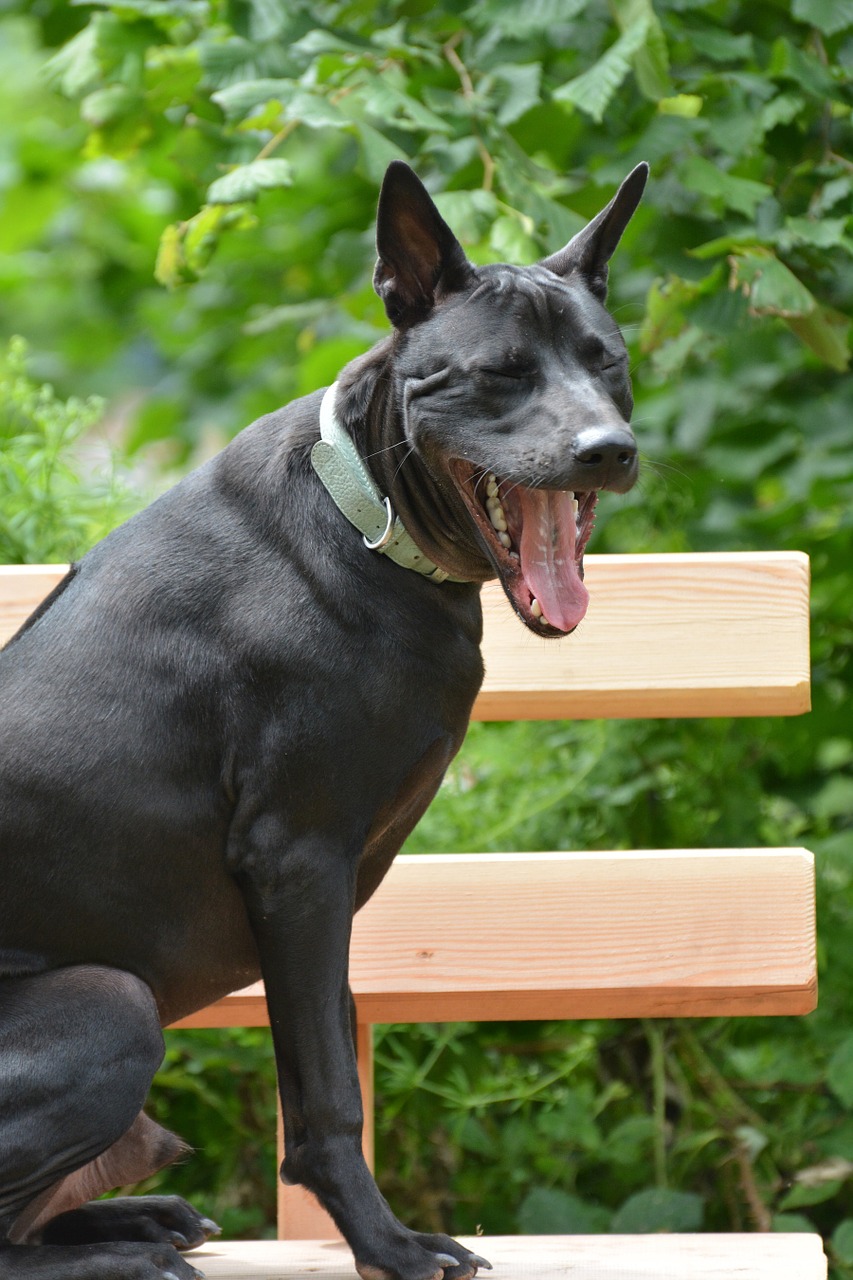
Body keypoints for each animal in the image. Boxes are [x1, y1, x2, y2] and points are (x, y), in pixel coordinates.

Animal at [0, 160, 645, 1280]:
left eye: (605, 360)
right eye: (498, 372)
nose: (607, 449)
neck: (370, 521)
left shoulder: (331, 892)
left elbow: (330, 1049)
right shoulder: (297, 862)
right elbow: (329, 1099)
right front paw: (385, 1243)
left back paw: (131, 1221)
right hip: (110, 1005)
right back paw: (111, 1253)